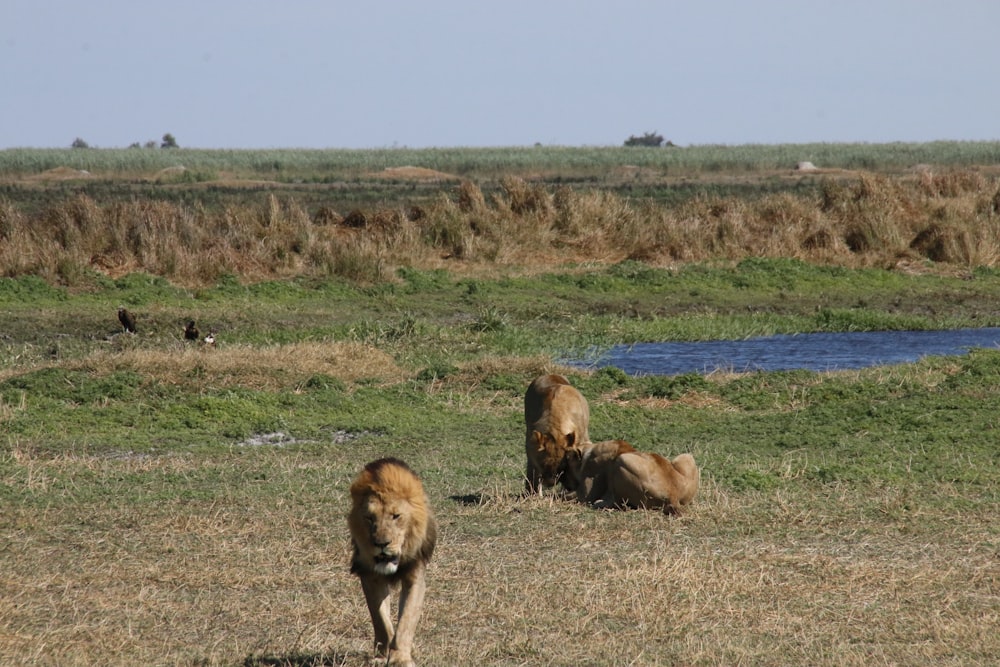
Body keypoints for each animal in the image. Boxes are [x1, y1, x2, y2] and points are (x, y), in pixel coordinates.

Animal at [346, 460, 436, 667]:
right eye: (369, 518)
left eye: (396, 516)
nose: (381, 544)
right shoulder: (370, 576)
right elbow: (381, 620)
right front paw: (381, 656)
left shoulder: (415, 577)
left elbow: (406, 621)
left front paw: (401, 658)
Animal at [568, 440, 700, 516]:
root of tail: (673, 496)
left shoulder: (589, 482)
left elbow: (581, 497)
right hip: (687, 456)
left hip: (622, 461)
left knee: (618, 503)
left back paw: (601, 504)